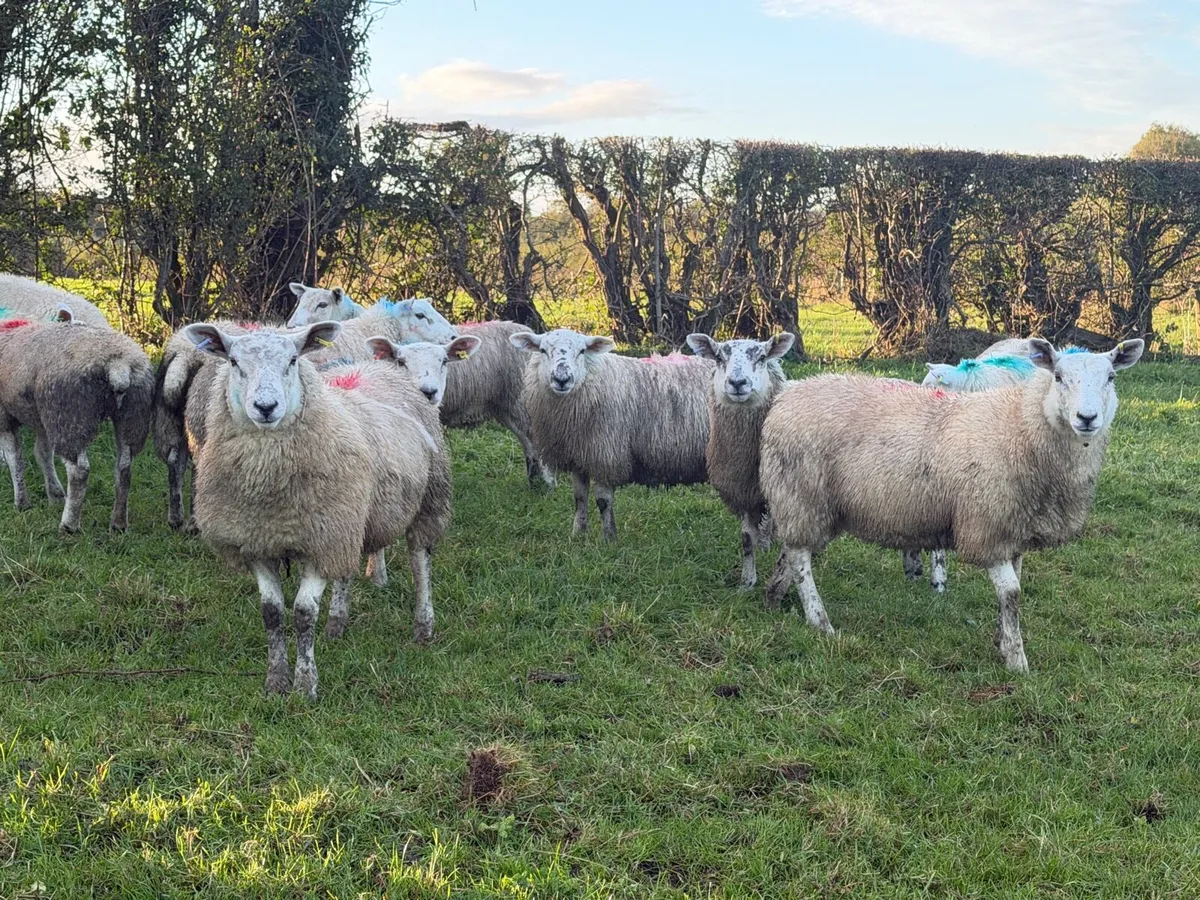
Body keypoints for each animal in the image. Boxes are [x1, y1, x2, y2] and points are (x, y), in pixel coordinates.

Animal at [0, 312, 154, 532]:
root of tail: (118, 366)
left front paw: (21, 503)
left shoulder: (5, 416)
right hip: (132, 414)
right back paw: (118, 523)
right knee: (124, 466)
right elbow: (43, 454)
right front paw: (55, 496)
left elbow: (15, 458)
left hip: (70, 415)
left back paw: (69, 525)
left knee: (79, 472)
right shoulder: (42, 419)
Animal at [182, 321, 451, 699]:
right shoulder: (259, 543)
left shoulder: (321, 544)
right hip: (351, 519)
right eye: (233, 362)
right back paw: (337, 622)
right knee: (347, 569)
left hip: (428, 499)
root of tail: (373, 369)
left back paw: (423, 625)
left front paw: (306, 684)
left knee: (420, 561)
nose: (266, 407)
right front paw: (276, 681)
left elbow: (303, 613)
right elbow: (272, 614)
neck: (270, 488)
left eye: (293, 360)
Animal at [511, 328, 714, 540]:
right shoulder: (578, 457)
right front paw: (578, 534)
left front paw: (609, 538)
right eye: (542, 350)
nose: (562, 379)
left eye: (582, 351)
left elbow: (603, 501)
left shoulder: (606, 455)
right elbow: (579, 497)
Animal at [685, 332, 795, 589]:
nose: (737, 383)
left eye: (762, 357)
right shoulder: (741, 492)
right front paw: (747, 582)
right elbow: (746, 539)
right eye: (718, 357)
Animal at [759, 338, 1144, 672]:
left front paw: (1001, 638)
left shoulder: (1015, 528)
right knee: (800, 557)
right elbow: (1012, 593)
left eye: (1111, 377)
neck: (1021, 425)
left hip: (805, 500)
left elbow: (1012, 590)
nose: (1087, 418)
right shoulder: (987, 526)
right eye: (1059, 376)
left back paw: (774, 595)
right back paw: (819, 621)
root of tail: (788, 395)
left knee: (791, 550)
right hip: (802, 492)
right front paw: (1016, 659)